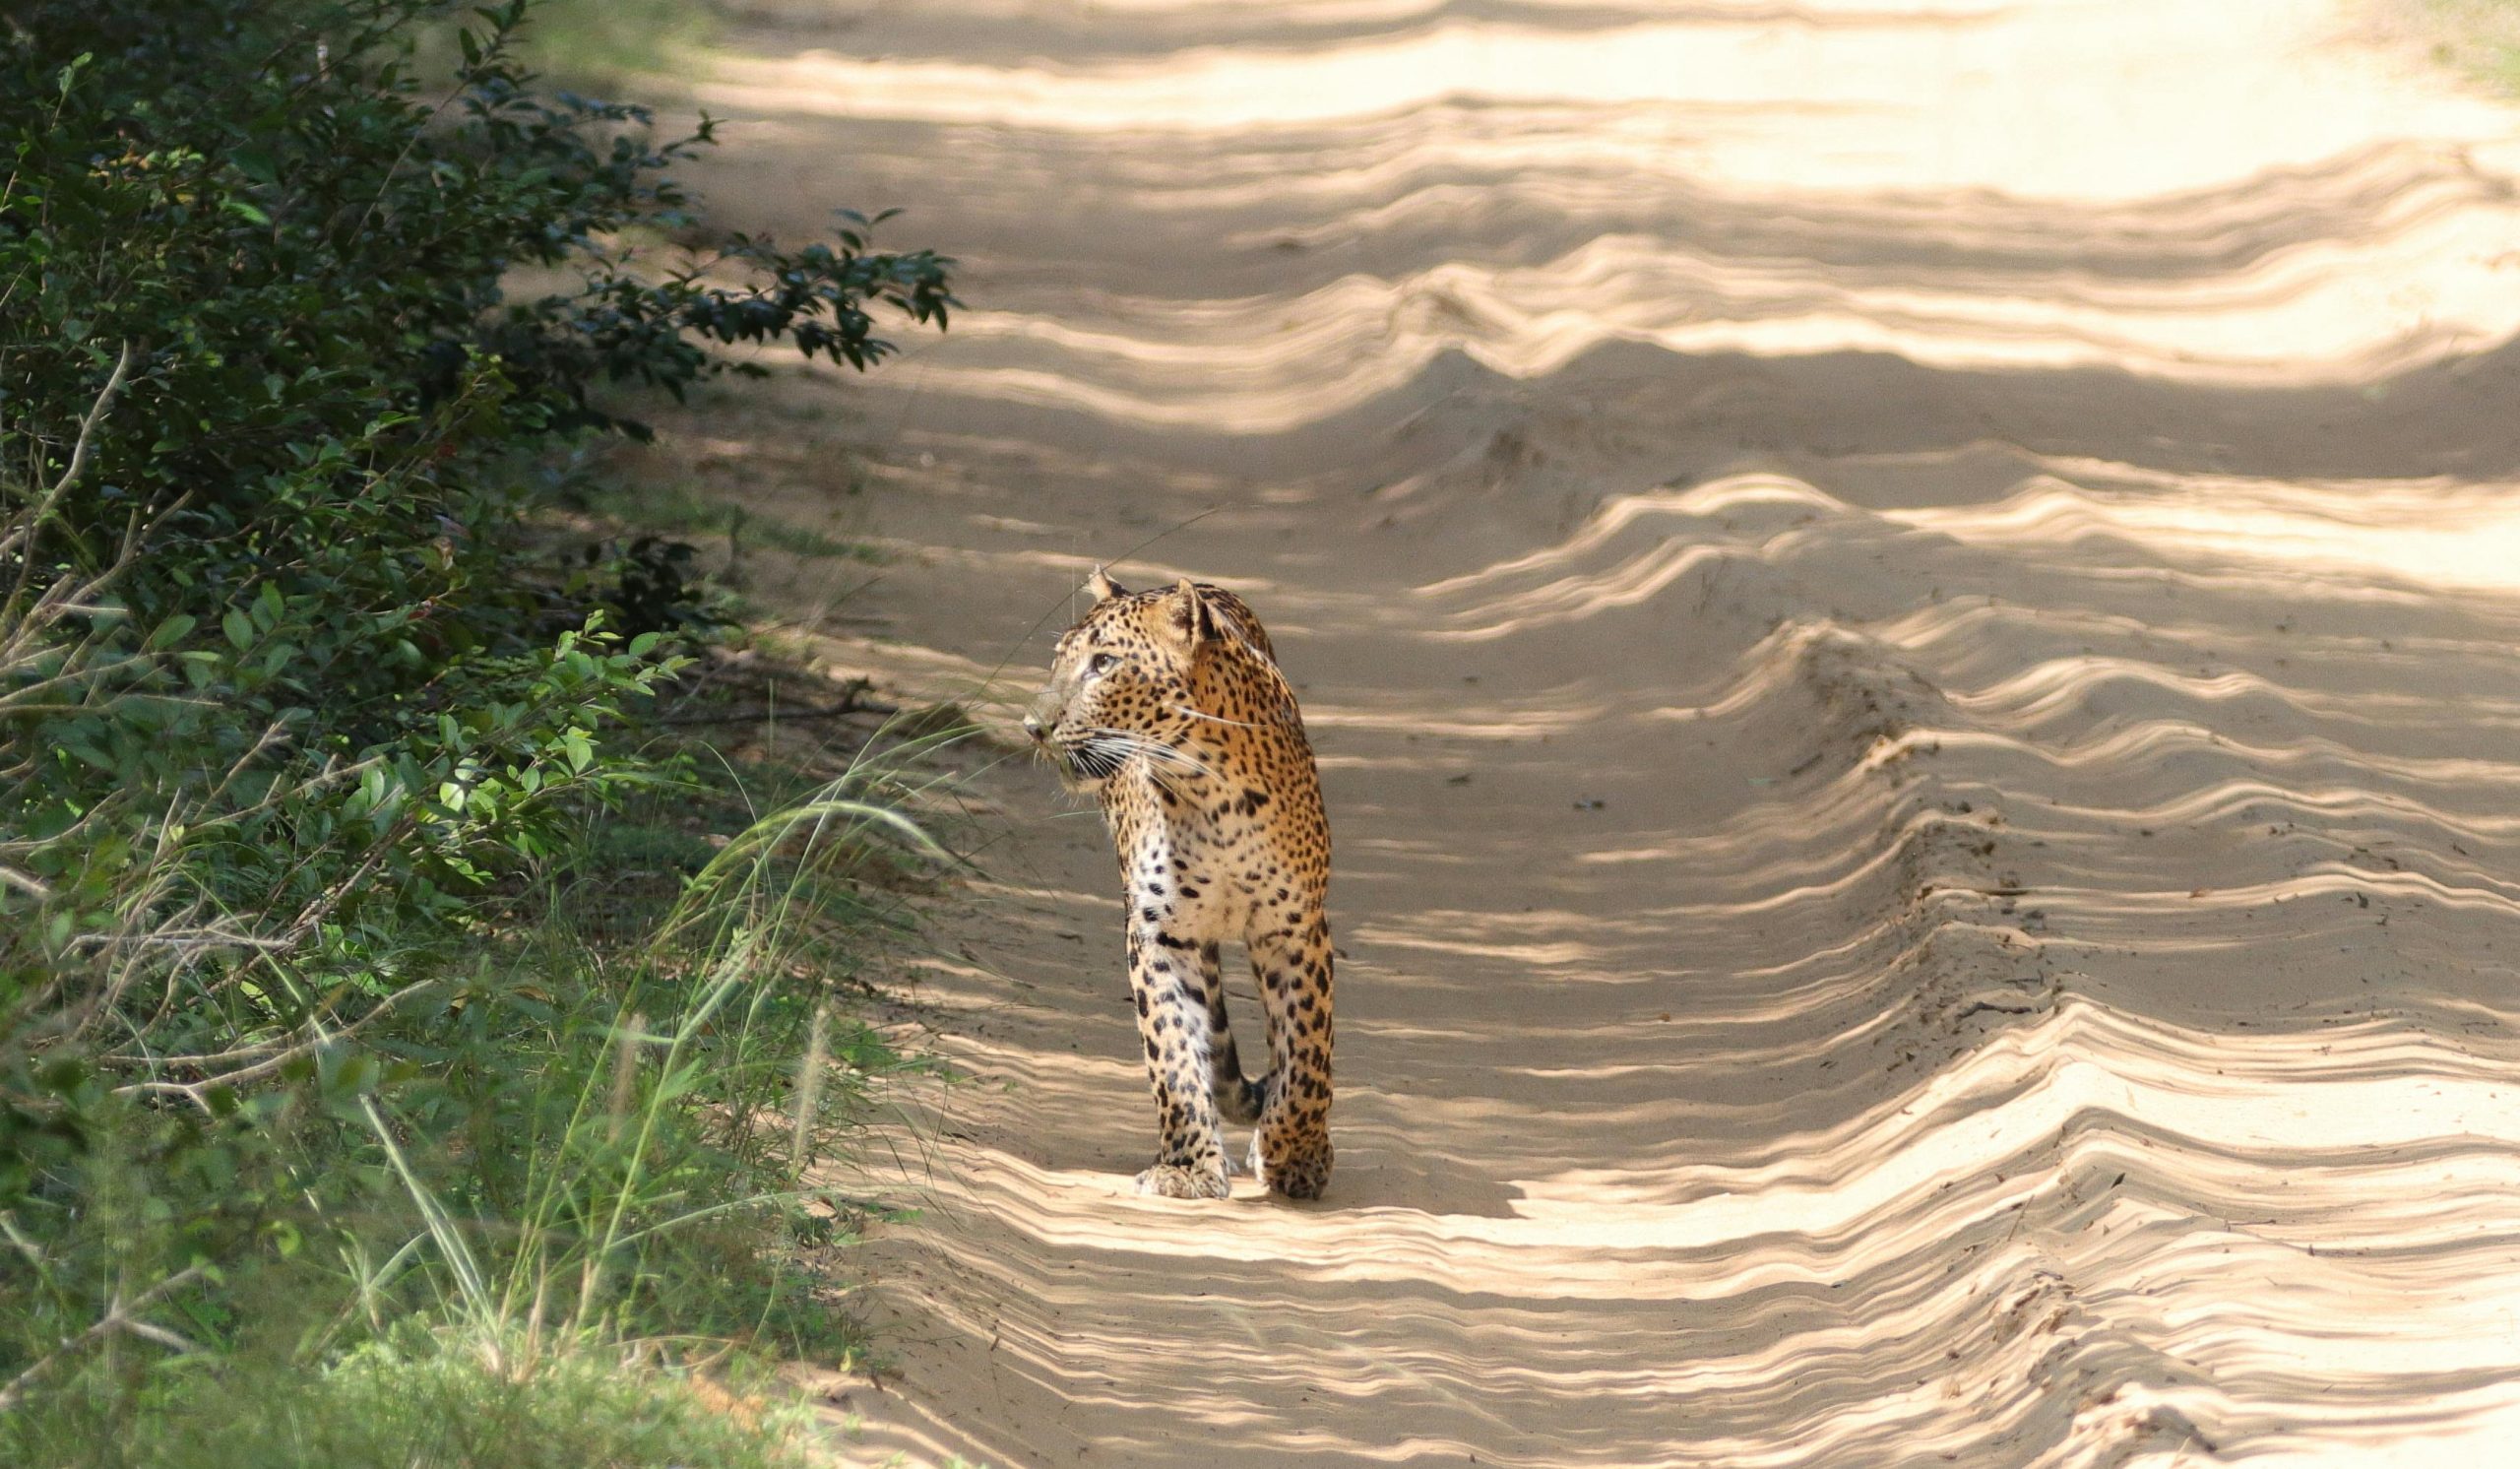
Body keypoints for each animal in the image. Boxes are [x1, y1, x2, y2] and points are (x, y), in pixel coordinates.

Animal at [1023, 571, 1335, 1200]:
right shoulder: (1159, 932)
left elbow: (1309, 1052)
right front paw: (1188, 1167)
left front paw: (1294, 1154)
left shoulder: (1294, 928)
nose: (1033, 727)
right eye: (1058, 660)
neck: (1210, 792)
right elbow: (1170, 1049)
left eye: (1103, 663)